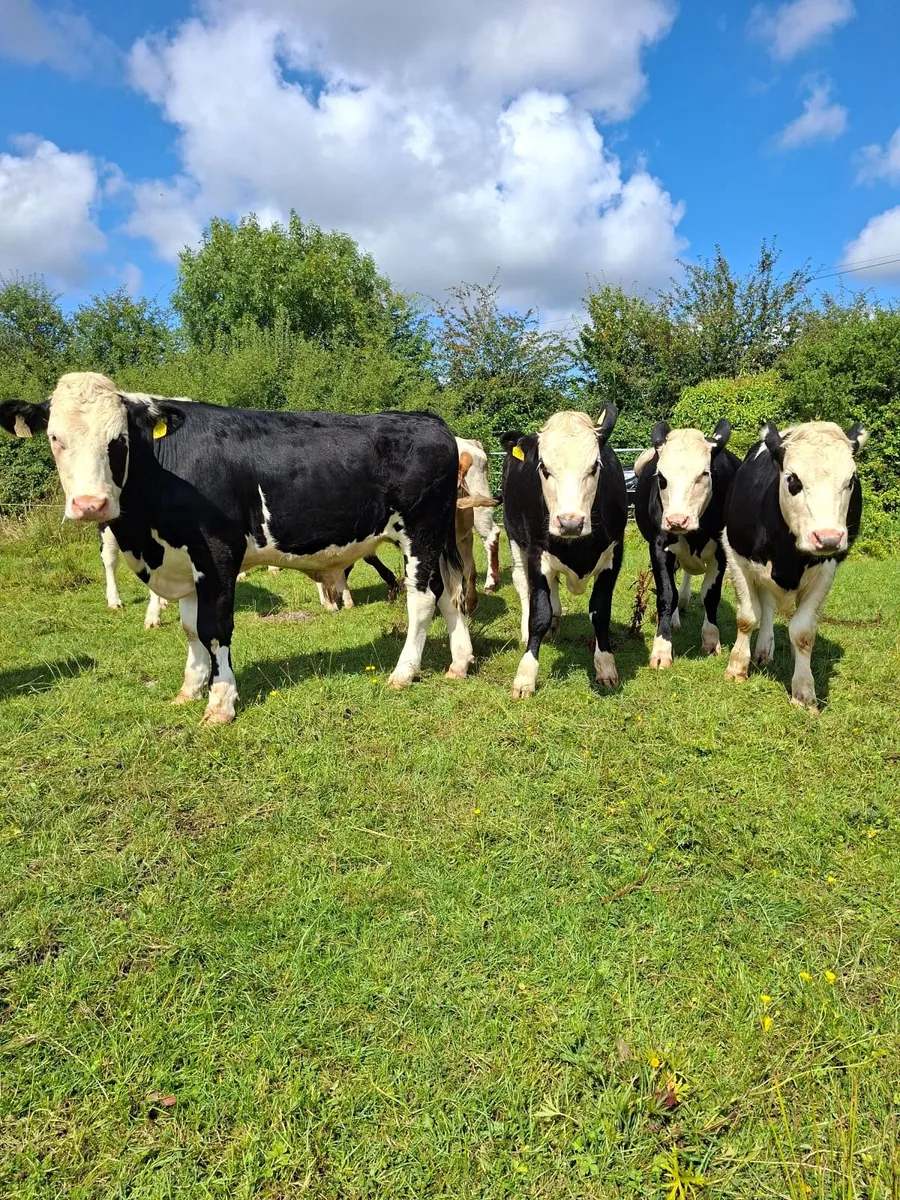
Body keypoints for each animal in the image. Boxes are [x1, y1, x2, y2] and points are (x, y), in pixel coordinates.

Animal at [0, 372, 472, 724]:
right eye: (55, 438)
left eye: (119, 440)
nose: (90, 505)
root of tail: (429, 421)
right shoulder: (184, 562)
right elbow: (190, 629)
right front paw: (190, 688)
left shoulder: (217, 553)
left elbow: (213, 628)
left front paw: (220, 702)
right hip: (436, 537)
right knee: (449, 594)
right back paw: (459, 664)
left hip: (420, 532)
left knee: (423, 599)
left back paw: (403, 672)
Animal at [500, 407, 626, 698]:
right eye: (543, 468)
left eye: (595, 466)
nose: (570, 522)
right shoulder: (536, 553)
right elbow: (539, 615)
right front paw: (526, 675)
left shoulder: (614, 554)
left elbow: (600, 612)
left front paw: (606, 666)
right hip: (513, 537)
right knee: (522, 583)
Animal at [633, 419, 740, 668]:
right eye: (661, 478)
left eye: (704, 474)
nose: (677, 520)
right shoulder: (659, 547)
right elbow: (666, 594)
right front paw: (661, 649)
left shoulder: (721, 553)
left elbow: (710, 596)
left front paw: (711, 639)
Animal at [722, 420, 868, 709]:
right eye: (792, 479)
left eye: (850, 481)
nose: (828, 537)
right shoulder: (735, 554)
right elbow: (747, 617)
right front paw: (736, 667)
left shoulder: (827, 570)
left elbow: (803, 632)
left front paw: (803, 692)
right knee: (766, 608)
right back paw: (763, 650)